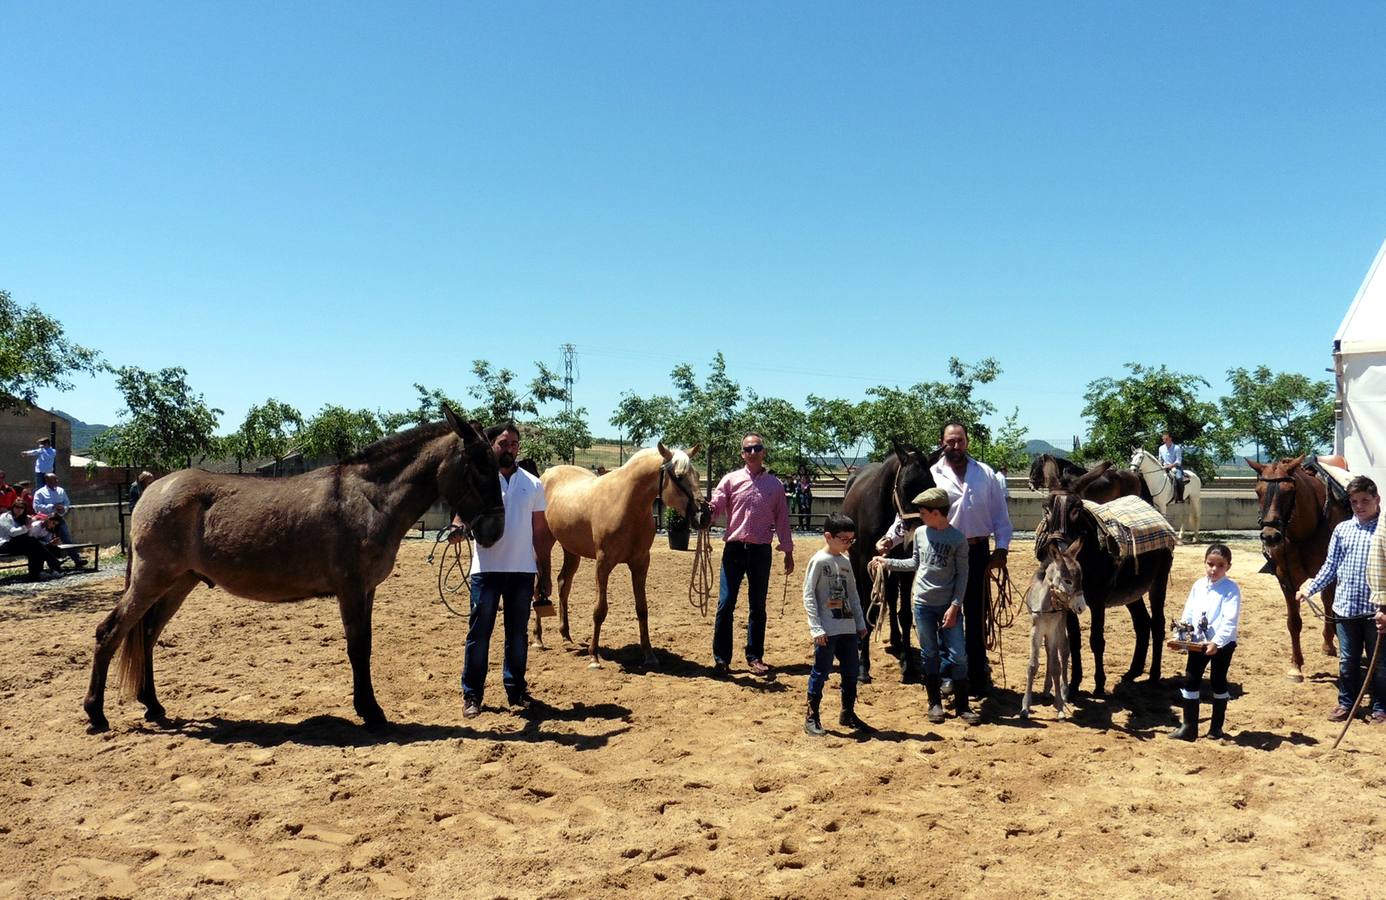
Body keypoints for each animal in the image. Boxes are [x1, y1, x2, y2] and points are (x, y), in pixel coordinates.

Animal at [81, 407, 504, 732]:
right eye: (479, 465)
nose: (494, 530)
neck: (369, 499)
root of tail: (152, 491)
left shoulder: (366, 591)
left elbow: (364, 647)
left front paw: (368, 708)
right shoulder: (351, 590)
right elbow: (358, 648)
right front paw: (371, 712)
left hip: (177, 584)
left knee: (147, 635)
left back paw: (153, 705)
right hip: (152, 580)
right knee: (110, 632)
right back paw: (96, 714)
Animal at [529, 443, 704, 665]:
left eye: (697, 475)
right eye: (679, 476)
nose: (704, 513)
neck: (626, 504)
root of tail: (546, 474)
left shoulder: (641, 563)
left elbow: (642, 609)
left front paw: (649, 655)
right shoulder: (603, 563)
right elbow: (599, 610)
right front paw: (594, 656)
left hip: (571, 550)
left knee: (563, 584)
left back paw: (566, 636)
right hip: (541, 546)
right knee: (539, 588)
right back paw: (538, 639)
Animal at [831, 440, 942, 682]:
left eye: (931, 485)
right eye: (905, 486)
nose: (912, 536)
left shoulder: (905, 565)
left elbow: (905, 615)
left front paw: (908, 666)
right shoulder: (866, 562)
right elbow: (865, 609)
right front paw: (863, 666)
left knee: (891, 597)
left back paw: (896, 640)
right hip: (858, 561)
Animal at [1247, 457, 1341, 682]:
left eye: (1289, 491)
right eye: (1258, 491)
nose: (1271, 536)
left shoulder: (1329, 573)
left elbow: (1328, 604)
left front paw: (1328, 643)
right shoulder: (1286, 579)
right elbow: (1294, 622)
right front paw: (1296, 666)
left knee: (1328, 604)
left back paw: (1329, 643)